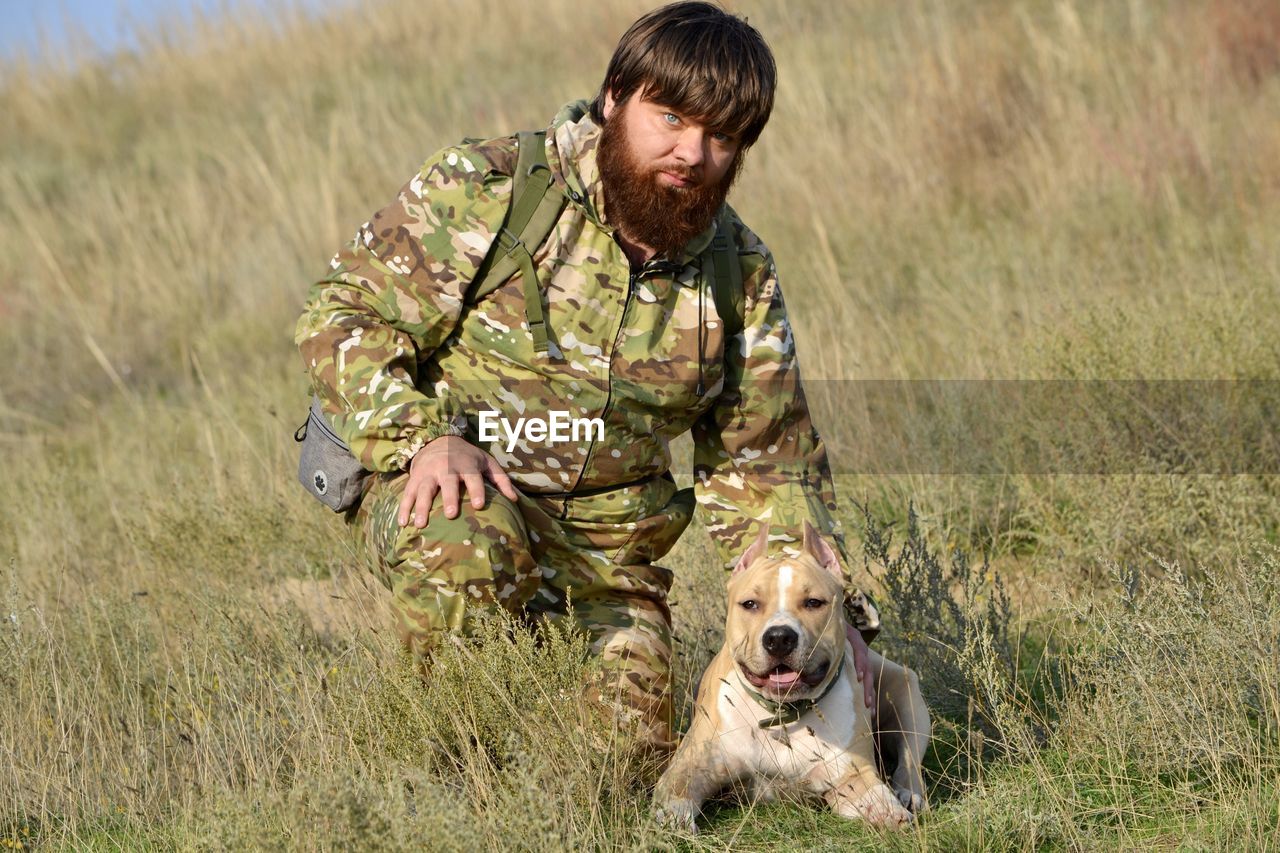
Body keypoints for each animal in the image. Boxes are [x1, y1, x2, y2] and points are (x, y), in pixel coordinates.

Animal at [660, 517, 931, 829]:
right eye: (750, 604)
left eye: (813, 602)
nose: (779, 637)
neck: (782, 714)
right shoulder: (692, 764)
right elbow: (678, 794)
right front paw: (676, 821)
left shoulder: (852, 776)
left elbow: (875, 796)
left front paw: (891, 813)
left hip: (907, 696)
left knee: (909, 757)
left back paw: (908, 793)